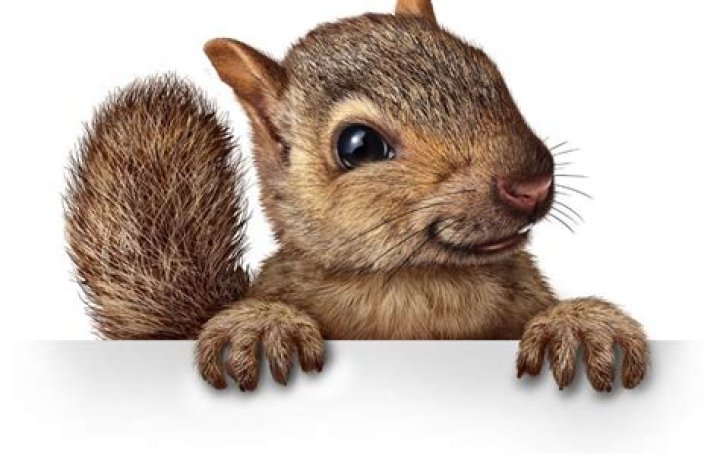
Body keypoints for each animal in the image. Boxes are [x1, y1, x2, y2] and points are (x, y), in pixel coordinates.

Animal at [65, 0, 648, 392]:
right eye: (358, 145)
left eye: (491, 75)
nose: (531, 183)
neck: (419, 287)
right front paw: (262, 327)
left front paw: (579, 326)